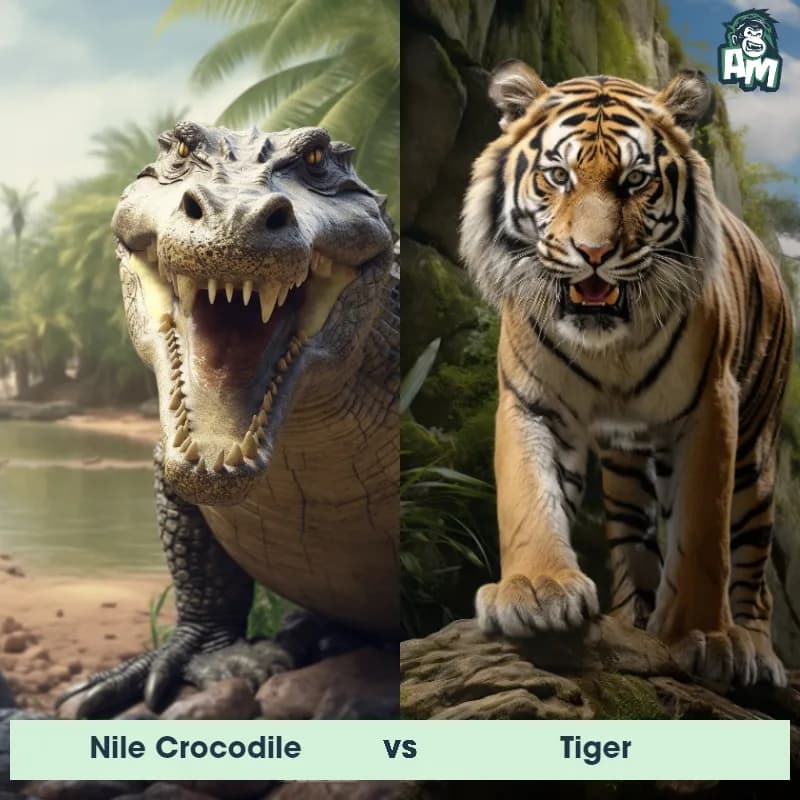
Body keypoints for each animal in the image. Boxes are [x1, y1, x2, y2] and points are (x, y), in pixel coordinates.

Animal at [460, 61, 793, 687]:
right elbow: (527, 496)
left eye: (636, 181)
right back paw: (633, 620)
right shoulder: (533, 401)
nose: (593, 253)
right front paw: (535, 591)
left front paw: (704, 635)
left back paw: (756, 650)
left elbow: (703, 532)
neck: (606, 345)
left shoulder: (711, 407)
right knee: (634, 545)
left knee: (753, 567)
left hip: (756, 456)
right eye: (558, 176)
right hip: (625, 470)